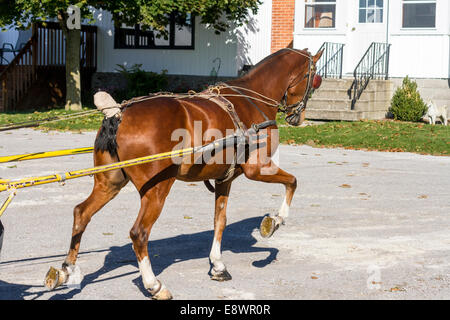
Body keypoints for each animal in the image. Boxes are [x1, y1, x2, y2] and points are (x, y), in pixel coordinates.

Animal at [43, 47, 324, 300]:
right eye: (314, 78)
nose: (298, 117)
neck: (251, 99)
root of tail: (119, 114)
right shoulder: (257, 168)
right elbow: (292, 182)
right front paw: (275, 221)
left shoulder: (224, 179)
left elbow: (219, 220)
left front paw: (218, 265)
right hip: (157, 188)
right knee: (139, 233)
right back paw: (154, 285)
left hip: (109, 183)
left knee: (82, 213)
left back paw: (66, 269)